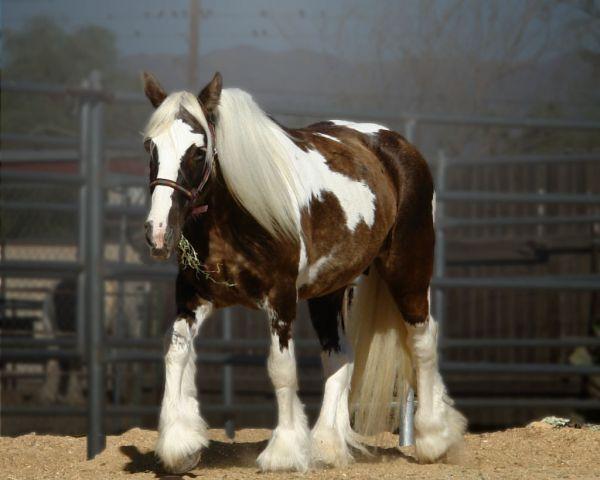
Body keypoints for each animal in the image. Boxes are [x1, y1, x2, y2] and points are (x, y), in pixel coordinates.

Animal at [139, 71, 464, 472]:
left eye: (198, 150)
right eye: (150, 147)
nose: (157, 232)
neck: (239, 217)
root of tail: (396, 145)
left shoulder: (280, 299)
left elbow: (281, 368)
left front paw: (284, 452)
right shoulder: (192, 297)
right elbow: (176, 353)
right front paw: (179, 445)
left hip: (409, 274)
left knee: (423, 342)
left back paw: (433, 437)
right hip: (330, 291)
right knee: (340, 356)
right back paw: (327, 445)